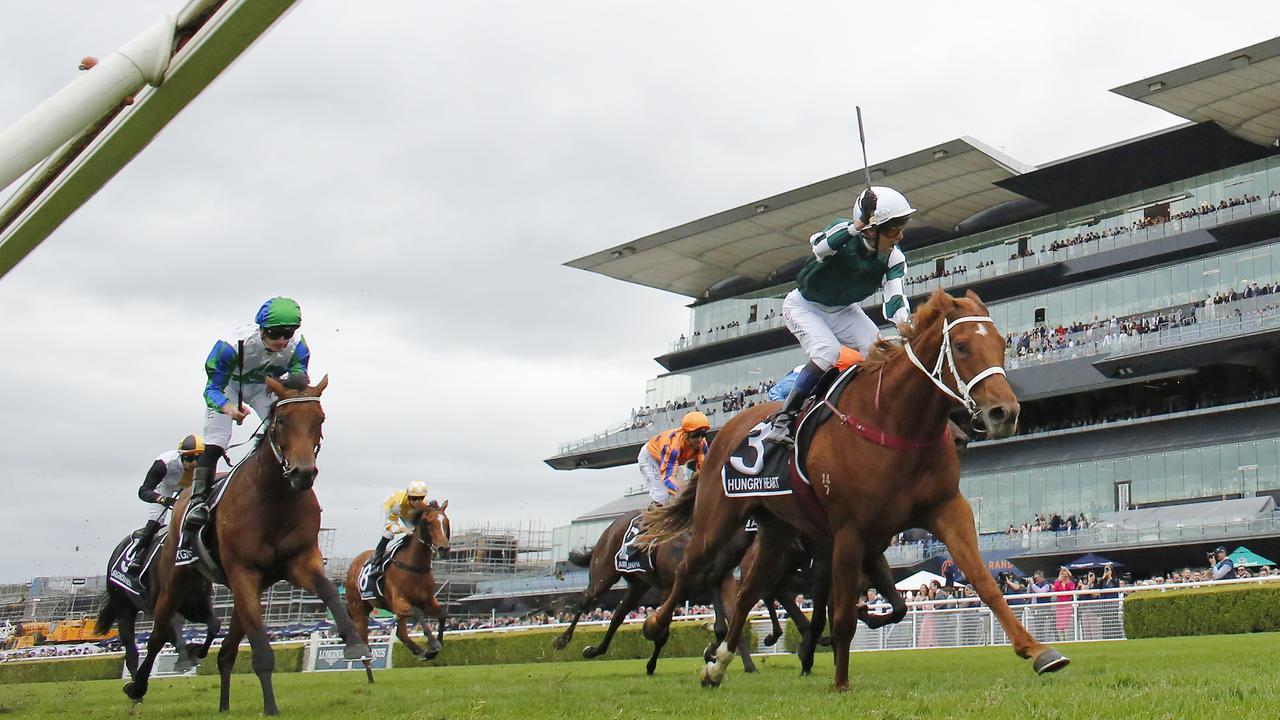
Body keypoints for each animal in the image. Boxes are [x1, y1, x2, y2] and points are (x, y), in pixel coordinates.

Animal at [122, 376, 371, 712]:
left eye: (320, 419)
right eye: (282, 420)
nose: (303, 473)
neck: (274, 497)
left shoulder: (300, 561)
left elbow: (330, 591)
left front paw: (355, 643)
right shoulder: (244, 571)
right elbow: (262, 652)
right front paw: (271, 709)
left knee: (226, 652)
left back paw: (223, 704)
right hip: (178, 580)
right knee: (158, 635)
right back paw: (138, 686)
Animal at [345, 499, 455, 661]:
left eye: (446, 522)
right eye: (429, 523)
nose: (444, 548)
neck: (414, 566)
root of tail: (354, 562)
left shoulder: (427, 600)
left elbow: (443, 614)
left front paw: (434, 648)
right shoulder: (399, 603)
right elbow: (417, 612)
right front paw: (433, 644)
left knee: (401, 632)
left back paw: (419, 651)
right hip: (358, 609)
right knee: (365, 641)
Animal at [640, 286, 1070, 691]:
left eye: (1000, 344)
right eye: (962, 347)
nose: (1005, 413)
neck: (895, 422)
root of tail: (724, 430)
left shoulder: (945, 508)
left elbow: (982, 581)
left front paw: (1038, 651)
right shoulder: (849, 531)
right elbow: (843, 612)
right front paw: (840, 681)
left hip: (777, 529)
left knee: (748, 591)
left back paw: (718, 664)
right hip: (718, 518)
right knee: (690, 566)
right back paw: (656, 625)